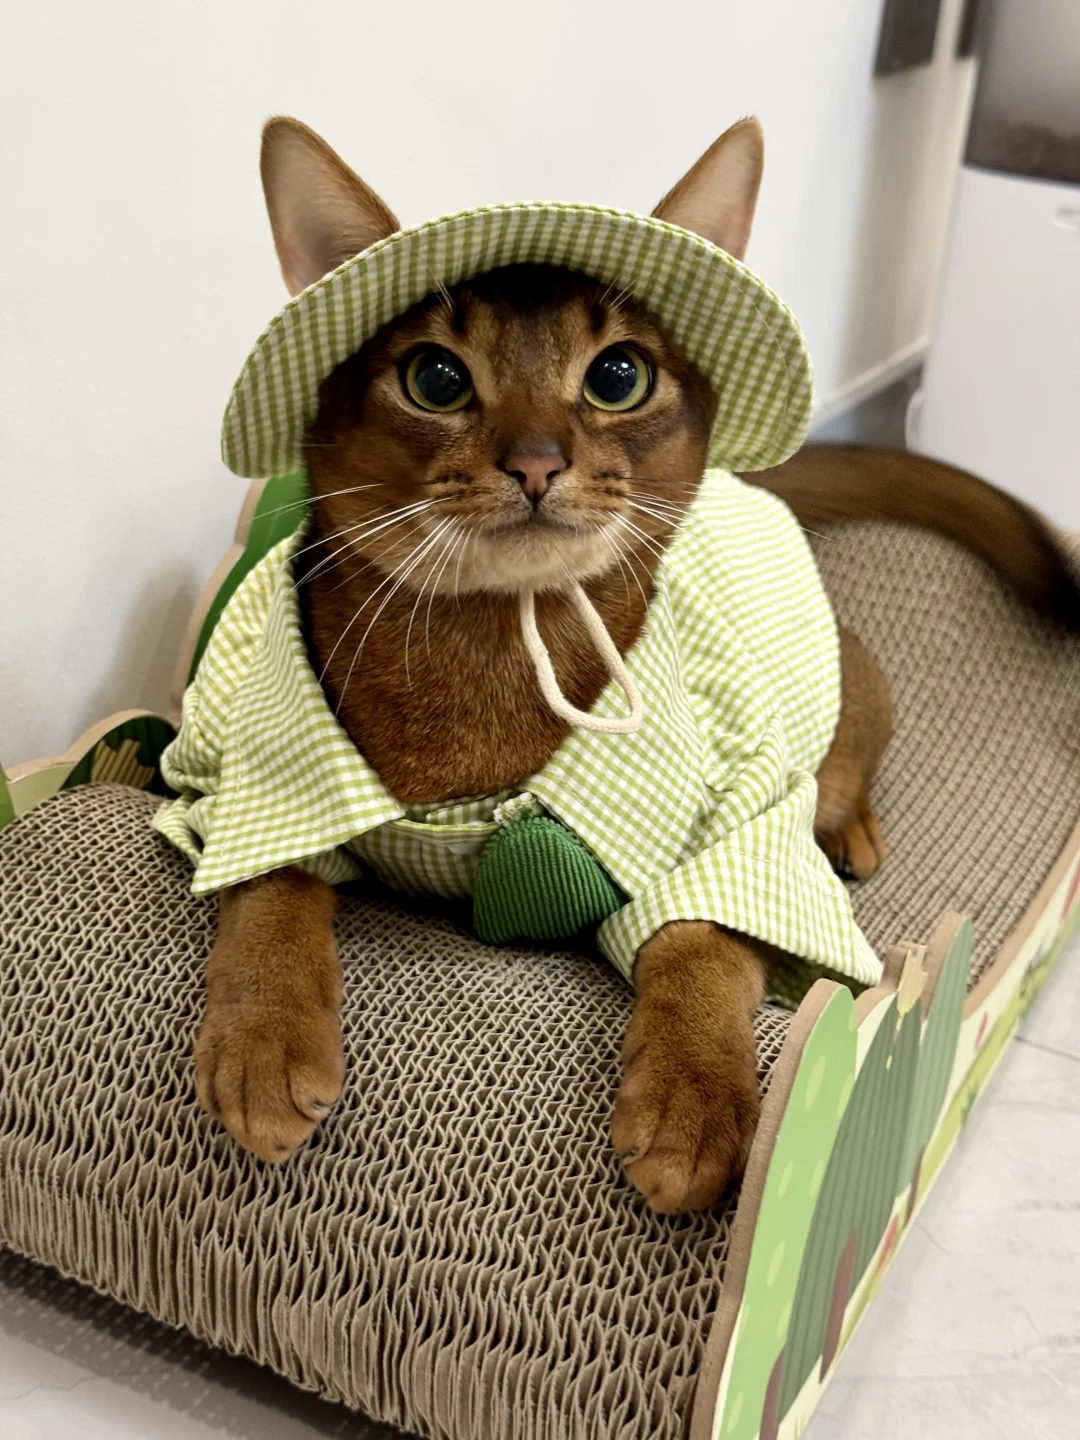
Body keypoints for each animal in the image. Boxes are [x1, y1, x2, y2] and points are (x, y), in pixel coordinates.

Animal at [177, 116, 1079, 1215]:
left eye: (616, 378)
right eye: (435, 378)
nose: (535, 463)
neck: (501, 647)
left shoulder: (737, 830)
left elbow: (703, 943)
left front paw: (693, 1103)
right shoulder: (238, 776)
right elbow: (270, 877)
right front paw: (264, 1037)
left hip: (832, 701)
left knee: (843, 764)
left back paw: (851, 832)